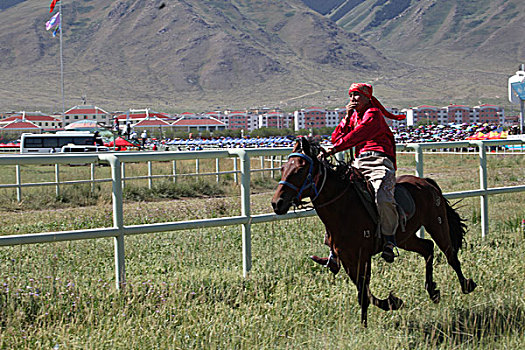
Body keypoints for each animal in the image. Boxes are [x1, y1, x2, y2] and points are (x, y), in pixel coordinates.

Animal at [270, 138, 474, 326]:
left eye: (300, 170)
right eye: (283, 168)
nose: (277, 203)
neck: (344, 208)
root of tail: (426, 182)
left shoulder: (363, 256)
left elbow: (363, 292)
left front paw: (365, 324)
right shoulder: (347, 258)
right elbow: (364, 291)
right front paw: (392, 302)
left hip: (437, 224)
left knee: (450, 255)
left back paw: (466, 285)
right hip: (405, 238)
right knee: (427, 248)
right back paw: (432, 291)